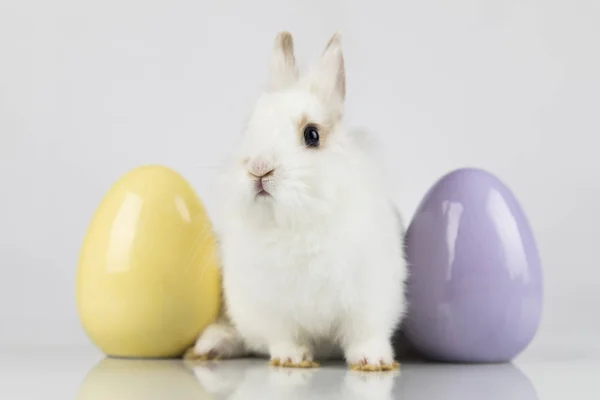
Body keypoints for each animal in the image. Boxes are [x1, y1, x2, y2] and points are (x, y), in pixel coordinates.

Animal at [189, 31, 408, 372]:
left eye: (312, 135)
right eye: (249, 128)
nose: (258, 168)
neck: (296, 223)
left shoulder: (369, 300)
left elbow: (366, 334)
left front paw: (373, 361)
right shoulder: (272, 310)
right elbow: (284, 337)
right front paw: (291, 359)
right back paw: (210, 347)